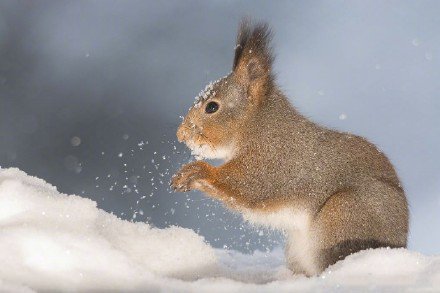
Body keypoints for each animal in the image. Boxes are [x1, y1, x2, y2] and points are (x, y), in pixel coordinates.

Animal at [171, 19, 410, 274]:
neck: (258, 125)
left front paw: (196, 171)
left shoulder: (274, 159)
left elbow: (248, 184)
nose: (181, 135)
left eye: (212, 107)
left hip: (345, 214)